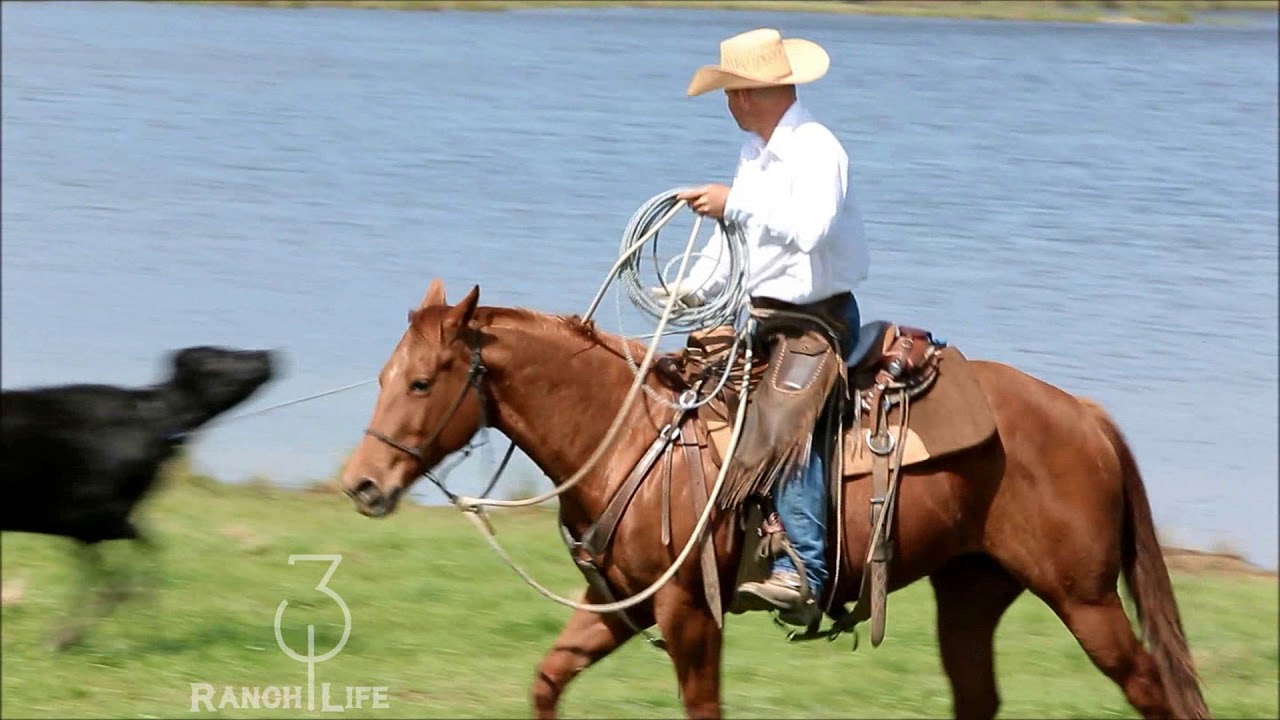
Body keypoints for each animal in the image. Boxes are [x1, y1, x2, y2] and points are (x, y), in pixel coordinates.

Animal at [1, 346, 277, 648]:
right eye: (220, 355)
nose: (267, 354)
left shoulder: (97, 526)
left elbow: (129, 563)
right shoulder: (91, 520)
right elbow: (123, 572)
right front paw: (66, 636)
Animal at [338, 278, 1208, 720]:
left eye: (423, 382)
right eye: (383, 376)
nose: (362, 484)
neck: (627, 436)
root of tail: (1085, 415)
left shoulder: (690, 614)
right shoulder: (619, 606)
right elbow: (548, 681)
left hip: (1085, 598)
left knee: (1149, 687)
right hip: (972, 591)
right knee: (978, 694)